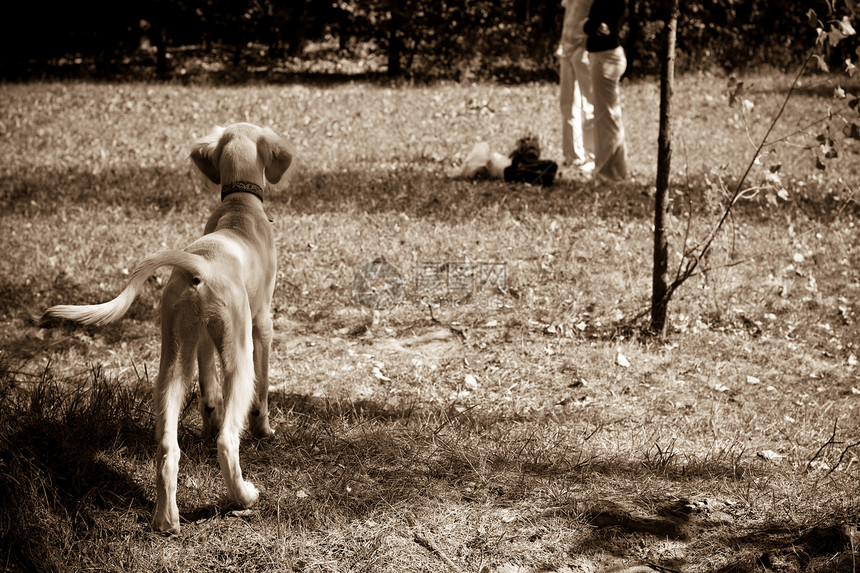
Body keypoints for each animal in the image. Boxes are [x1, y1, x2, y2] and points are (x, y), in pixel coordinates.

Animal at [42, 123, 292, 536]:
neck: (238, 207)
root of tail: (201, 264)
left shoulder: (203, 342)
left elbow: (209, 397)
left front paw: (208, 421)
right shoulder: (263, 324)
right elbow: (263, 392)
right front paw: (265, 430)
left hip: (172, 359)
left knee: (167, 448)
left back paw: (166, 519)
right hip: (238, 354)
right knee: (228, 439)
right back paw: (243, 496)